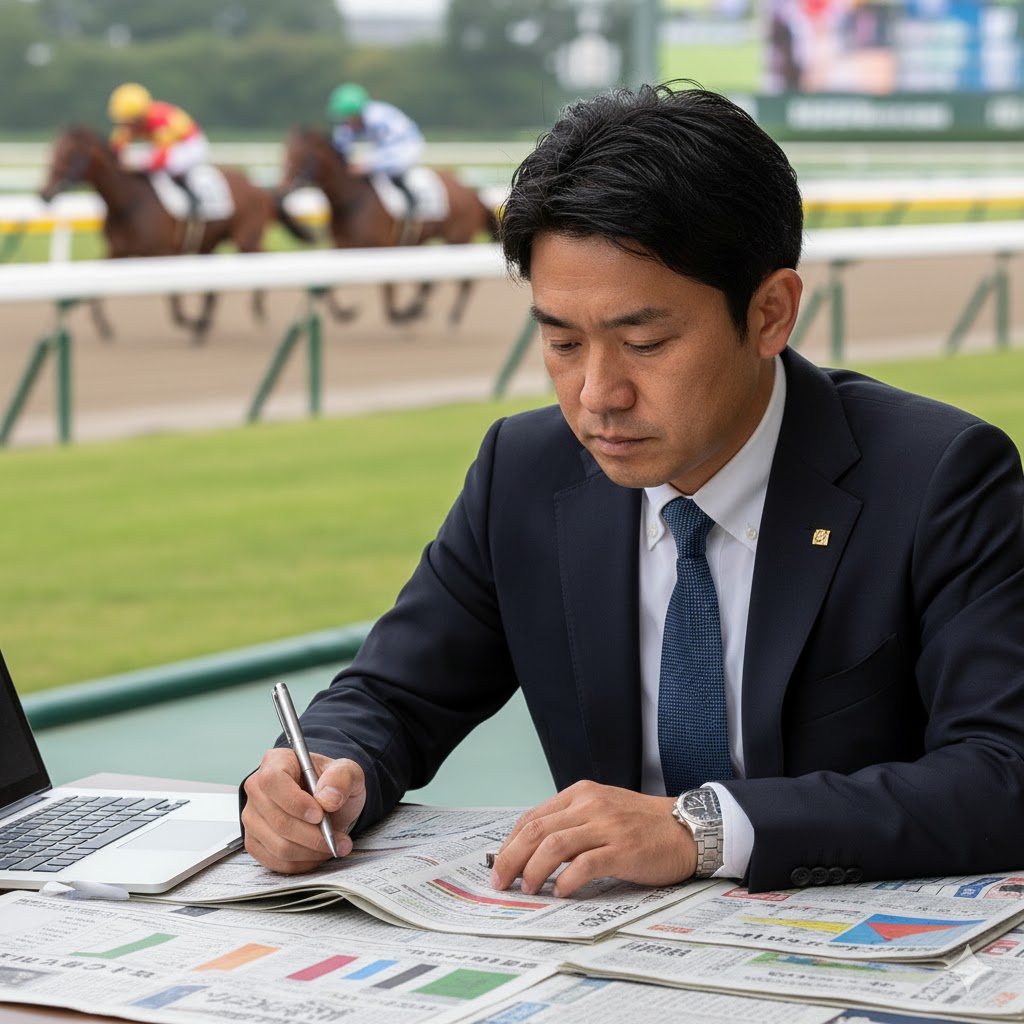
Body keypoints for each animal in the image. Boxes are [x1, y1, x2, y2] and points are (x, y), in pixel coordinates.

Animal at [38, 125, 315, 343]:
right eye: (51, 151)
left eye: (69, 154)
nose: (44, 193)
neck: (128, 200)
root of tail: (259, 188)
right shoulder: (118, 250)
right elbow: (96, 282)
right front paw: (103, 325)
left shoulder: (164, 253)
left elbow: (174, 303)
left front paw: (189, 321)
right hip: (208, 244)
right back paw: (206, 321)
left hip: (245, 237)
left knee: (265, 257)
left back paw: (253, 309)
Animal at [275, 127, 500, 326]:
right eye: (285, 152)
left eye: (303, 156)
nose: (282, 189)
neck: (352, 201)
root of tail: (471, 191)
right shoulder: (343, 248)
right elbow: (327, 285)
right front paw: (345, 313)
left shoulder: (385, 246)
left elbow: (388, 286)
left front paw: (397, 315)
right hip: (424, 241)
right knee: (430, 281)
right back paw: (416, 309)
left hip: (458, 237)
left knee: (463, 279)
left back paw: (452, 315)